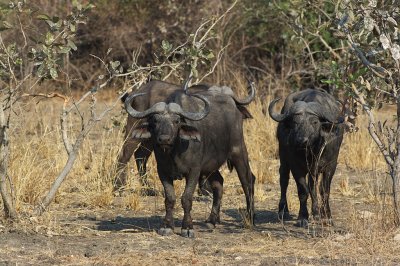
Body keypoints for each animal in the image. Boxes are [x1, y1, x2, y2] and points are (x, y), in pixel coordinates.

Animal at [124, 80, 256, 237]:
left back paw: (250, 217)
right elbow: (170, 198)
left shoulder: (194, 171)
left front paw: (187, 227)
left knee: (248, 181)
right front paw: (167, 226)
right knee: (219, 183)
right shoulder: (163, 172)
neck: (174, 152)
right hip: (210, 165)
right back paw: (211, 220)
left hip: (238, 151)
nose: (164, 139)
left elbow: (186, 198)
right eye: (155, 120)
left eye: (176, 121)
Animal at [268, 89, 344, 227]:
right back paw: (283, 211)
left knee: (313, 186)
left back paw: (317, 213)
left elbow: (324, 190)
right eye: (295, 122)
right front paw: (303, 218)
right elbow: (303, 190)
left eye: (315, 122)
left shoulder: (331, 165)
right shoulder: (296, 166)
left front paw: (326, 216)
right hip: (283, 158)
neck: (310, 152)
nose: (302, 140)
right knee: (284, 180)